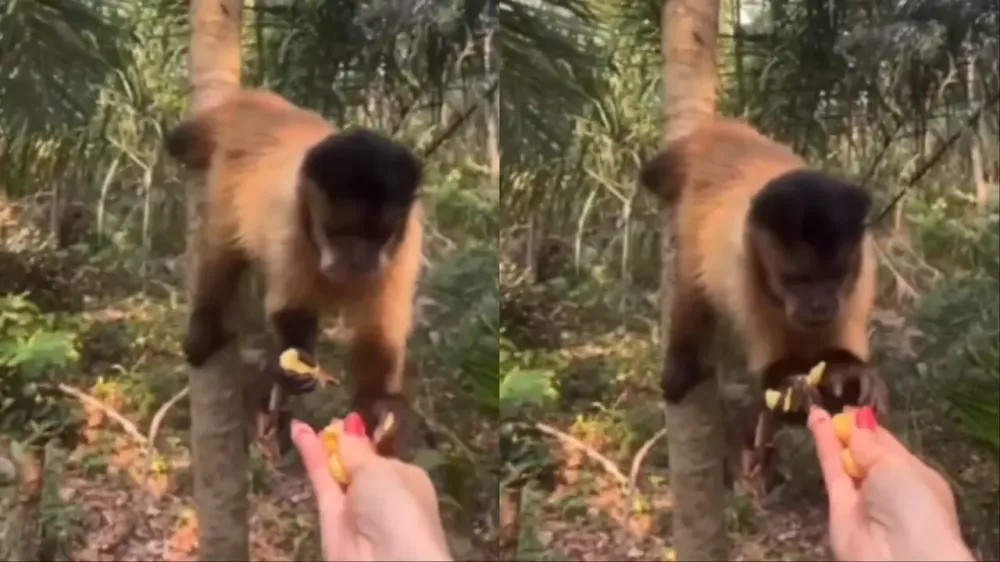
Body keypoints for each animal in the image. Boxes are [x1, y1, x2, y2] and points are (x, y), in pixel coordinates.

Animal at [164, 89, 424, 458]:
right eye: (341, 233)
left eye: (377, 236)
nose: (359, 261)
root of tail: (266, 107)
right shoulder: (290, 219)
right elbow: (291, 308)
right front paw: (295, 368)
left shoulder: (407, 241)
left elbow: (378, 335)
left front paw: (380, 407)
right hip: (227, 168)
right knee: (224, 246)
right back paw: (207, 323)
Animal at [639, 118, 889, 490]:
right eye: (797, 280)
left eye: (835, 277)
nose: (819, 306)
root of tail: (726, 131)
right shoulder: (744, 273)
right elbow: (773, 378)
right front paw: (804, 388)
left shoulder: (862, 275)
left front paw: (850, 374)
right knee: (693, 279)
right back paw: (683, 358)